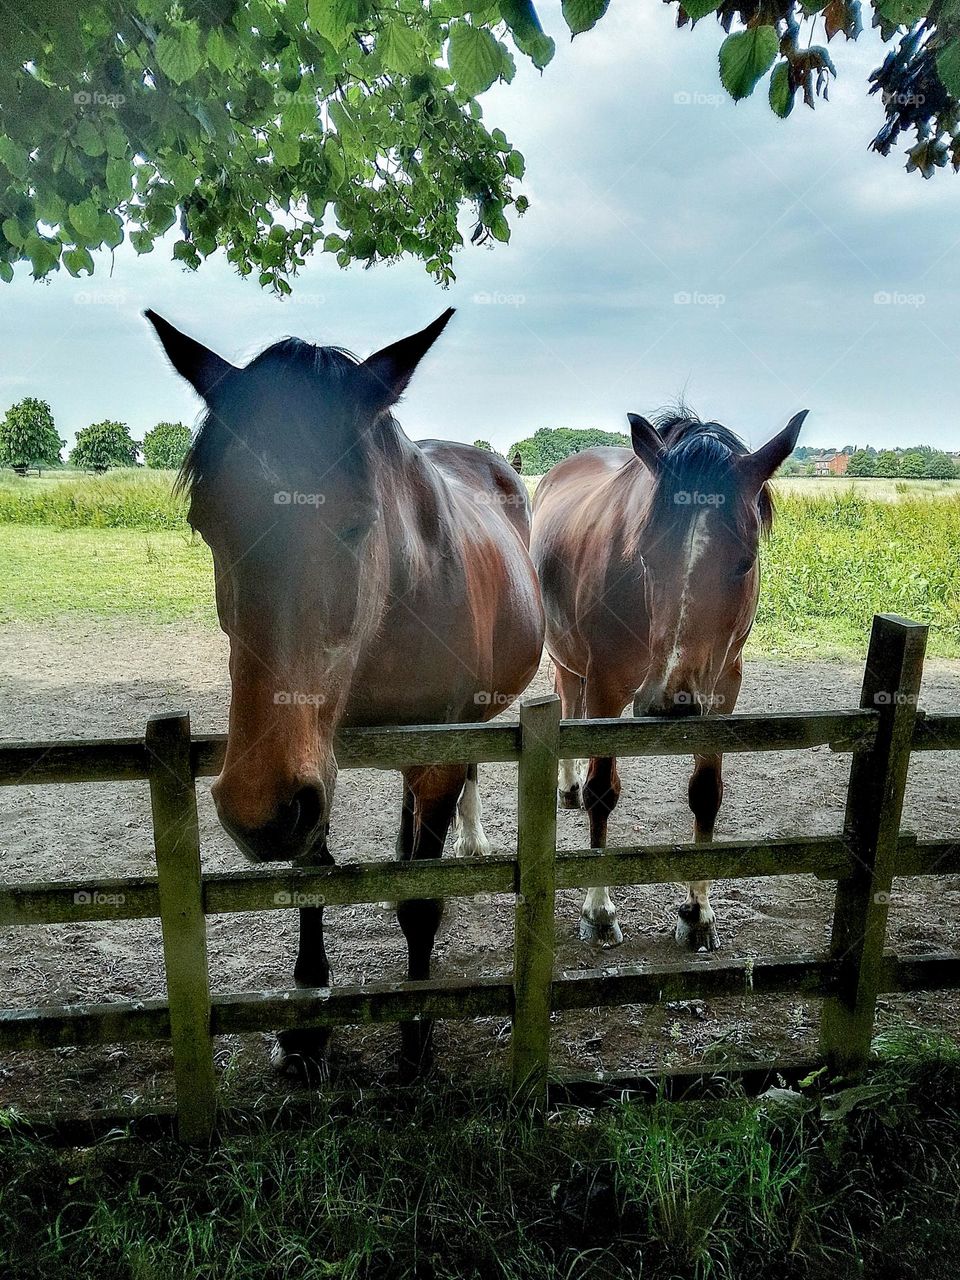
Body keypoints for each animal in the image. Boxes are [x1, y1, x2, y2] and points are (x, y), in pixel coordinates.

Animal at [145, 307, 545, 1079]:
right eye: (204, 522)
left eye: (360, 520)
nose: (256, 810)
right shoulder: (313, 767)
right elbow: (316, 874)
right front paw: (308, 1030)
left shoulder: (434, 753)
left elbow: (419, 900)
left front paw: (417, 1038)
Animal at [530, 407, 807, 951]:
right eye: (644, 554)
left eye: (745, 560)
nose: (668, 701)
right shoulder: (607, 689)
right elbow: (603, 792)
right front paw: (598, 911)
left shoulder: (721, 694)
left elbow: (706, 795)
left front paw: (698, 914)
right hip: (568, 653)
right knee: (565, 697)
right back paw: (568, 785)